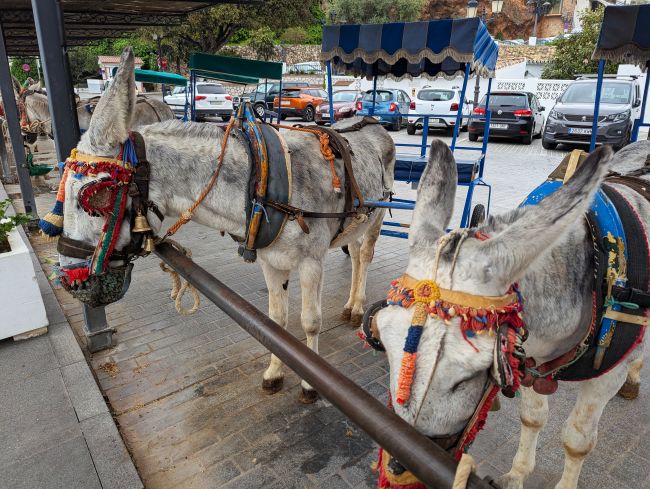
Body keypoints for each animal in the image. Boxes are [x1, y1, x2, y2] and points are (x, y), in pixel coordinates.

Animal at [56, 48, 395, 403]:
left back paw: (358, 308)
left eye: (96, 195)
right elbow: (277, 321)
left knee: (364, 256)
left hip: (376, 218)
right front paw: (274, 373)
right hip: (357, 221)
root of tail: (373, 122)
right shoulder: (271, 262)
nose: (71, 281)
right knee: (354, 254)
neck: (263, 183)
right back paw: (352, 305)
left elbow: (310, 322)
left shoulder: (312, 262)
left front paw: (308, 385)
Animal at [371, 139, 648, 489]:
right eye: (382, 341)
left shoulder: (606, 376)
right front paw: (517, 474)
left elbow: (577, 441)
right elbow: (531, 417)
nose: (401, 468)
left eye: (469, 377)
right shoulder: (527, 353)